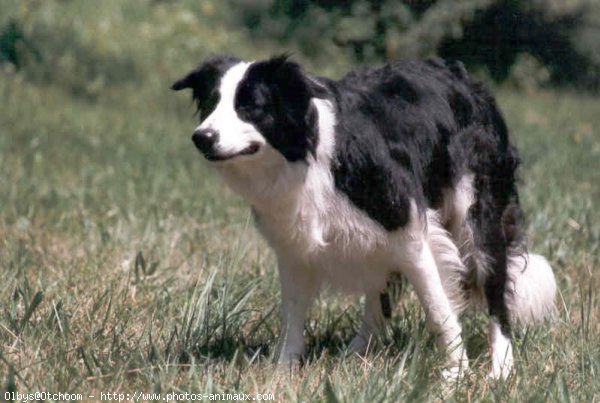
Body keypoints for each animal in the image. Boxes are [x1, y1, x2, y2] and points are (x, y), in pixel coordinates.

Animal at [171, 55, 556, 380]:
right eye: (210, 105)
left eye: (250, 106)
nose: (201, 137)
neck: (306, 157)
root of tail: (466, 77)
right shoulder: (294, 246)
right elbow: (292, 315)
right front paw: (282, 373)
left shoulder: (409, 227)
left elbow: (438, 308)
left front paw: (456, 374)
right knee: (377, 293)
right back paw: (355, 353)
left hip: (476, 213)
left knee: (493, 288)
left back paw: (501, 368)